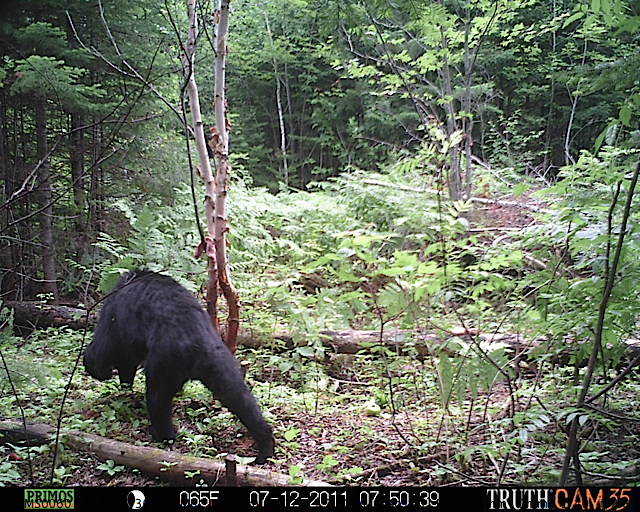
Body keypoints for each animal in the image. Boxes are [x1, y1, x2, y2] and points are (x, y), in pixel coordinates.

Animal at [84, 272, 274, 464]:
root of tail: (198, 344)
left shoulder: (117, 316)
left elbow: (107, 349)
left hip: (164, 362)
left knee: (157, 398)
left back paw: (162, 434)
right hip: (221, 364)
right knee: (240, 398)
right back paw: (265, 447)